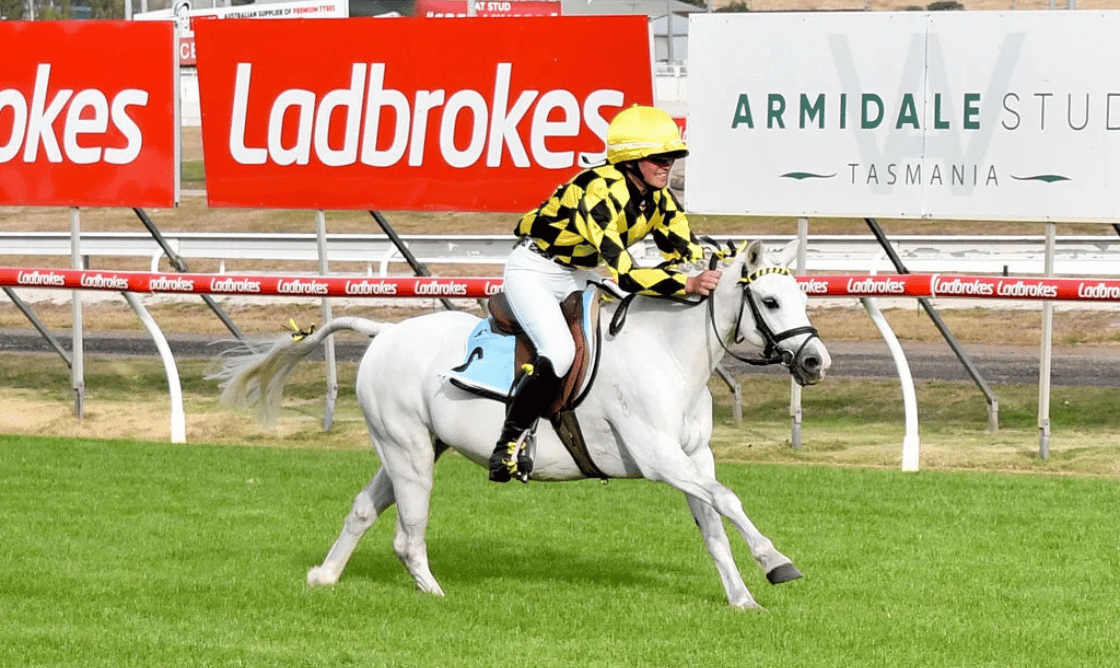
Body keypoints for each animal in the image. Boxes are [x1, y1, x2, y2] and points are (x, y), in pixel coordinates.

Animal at [213, 239, 831, 609]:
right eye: (771, 301)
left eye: (801, 296)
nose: (815, 362)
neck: (669, 355)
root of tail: (383, 332)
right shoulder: (659, 458)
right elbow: (727, 500)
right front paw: (777, 562)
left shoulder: (692, 458)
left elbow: (713, 526)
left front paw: (742, 597)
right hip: (410, 454)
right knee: (407, 536)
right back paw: (435, 594)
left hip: (411, 449)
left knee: (365, 509)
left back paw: (325, 576)